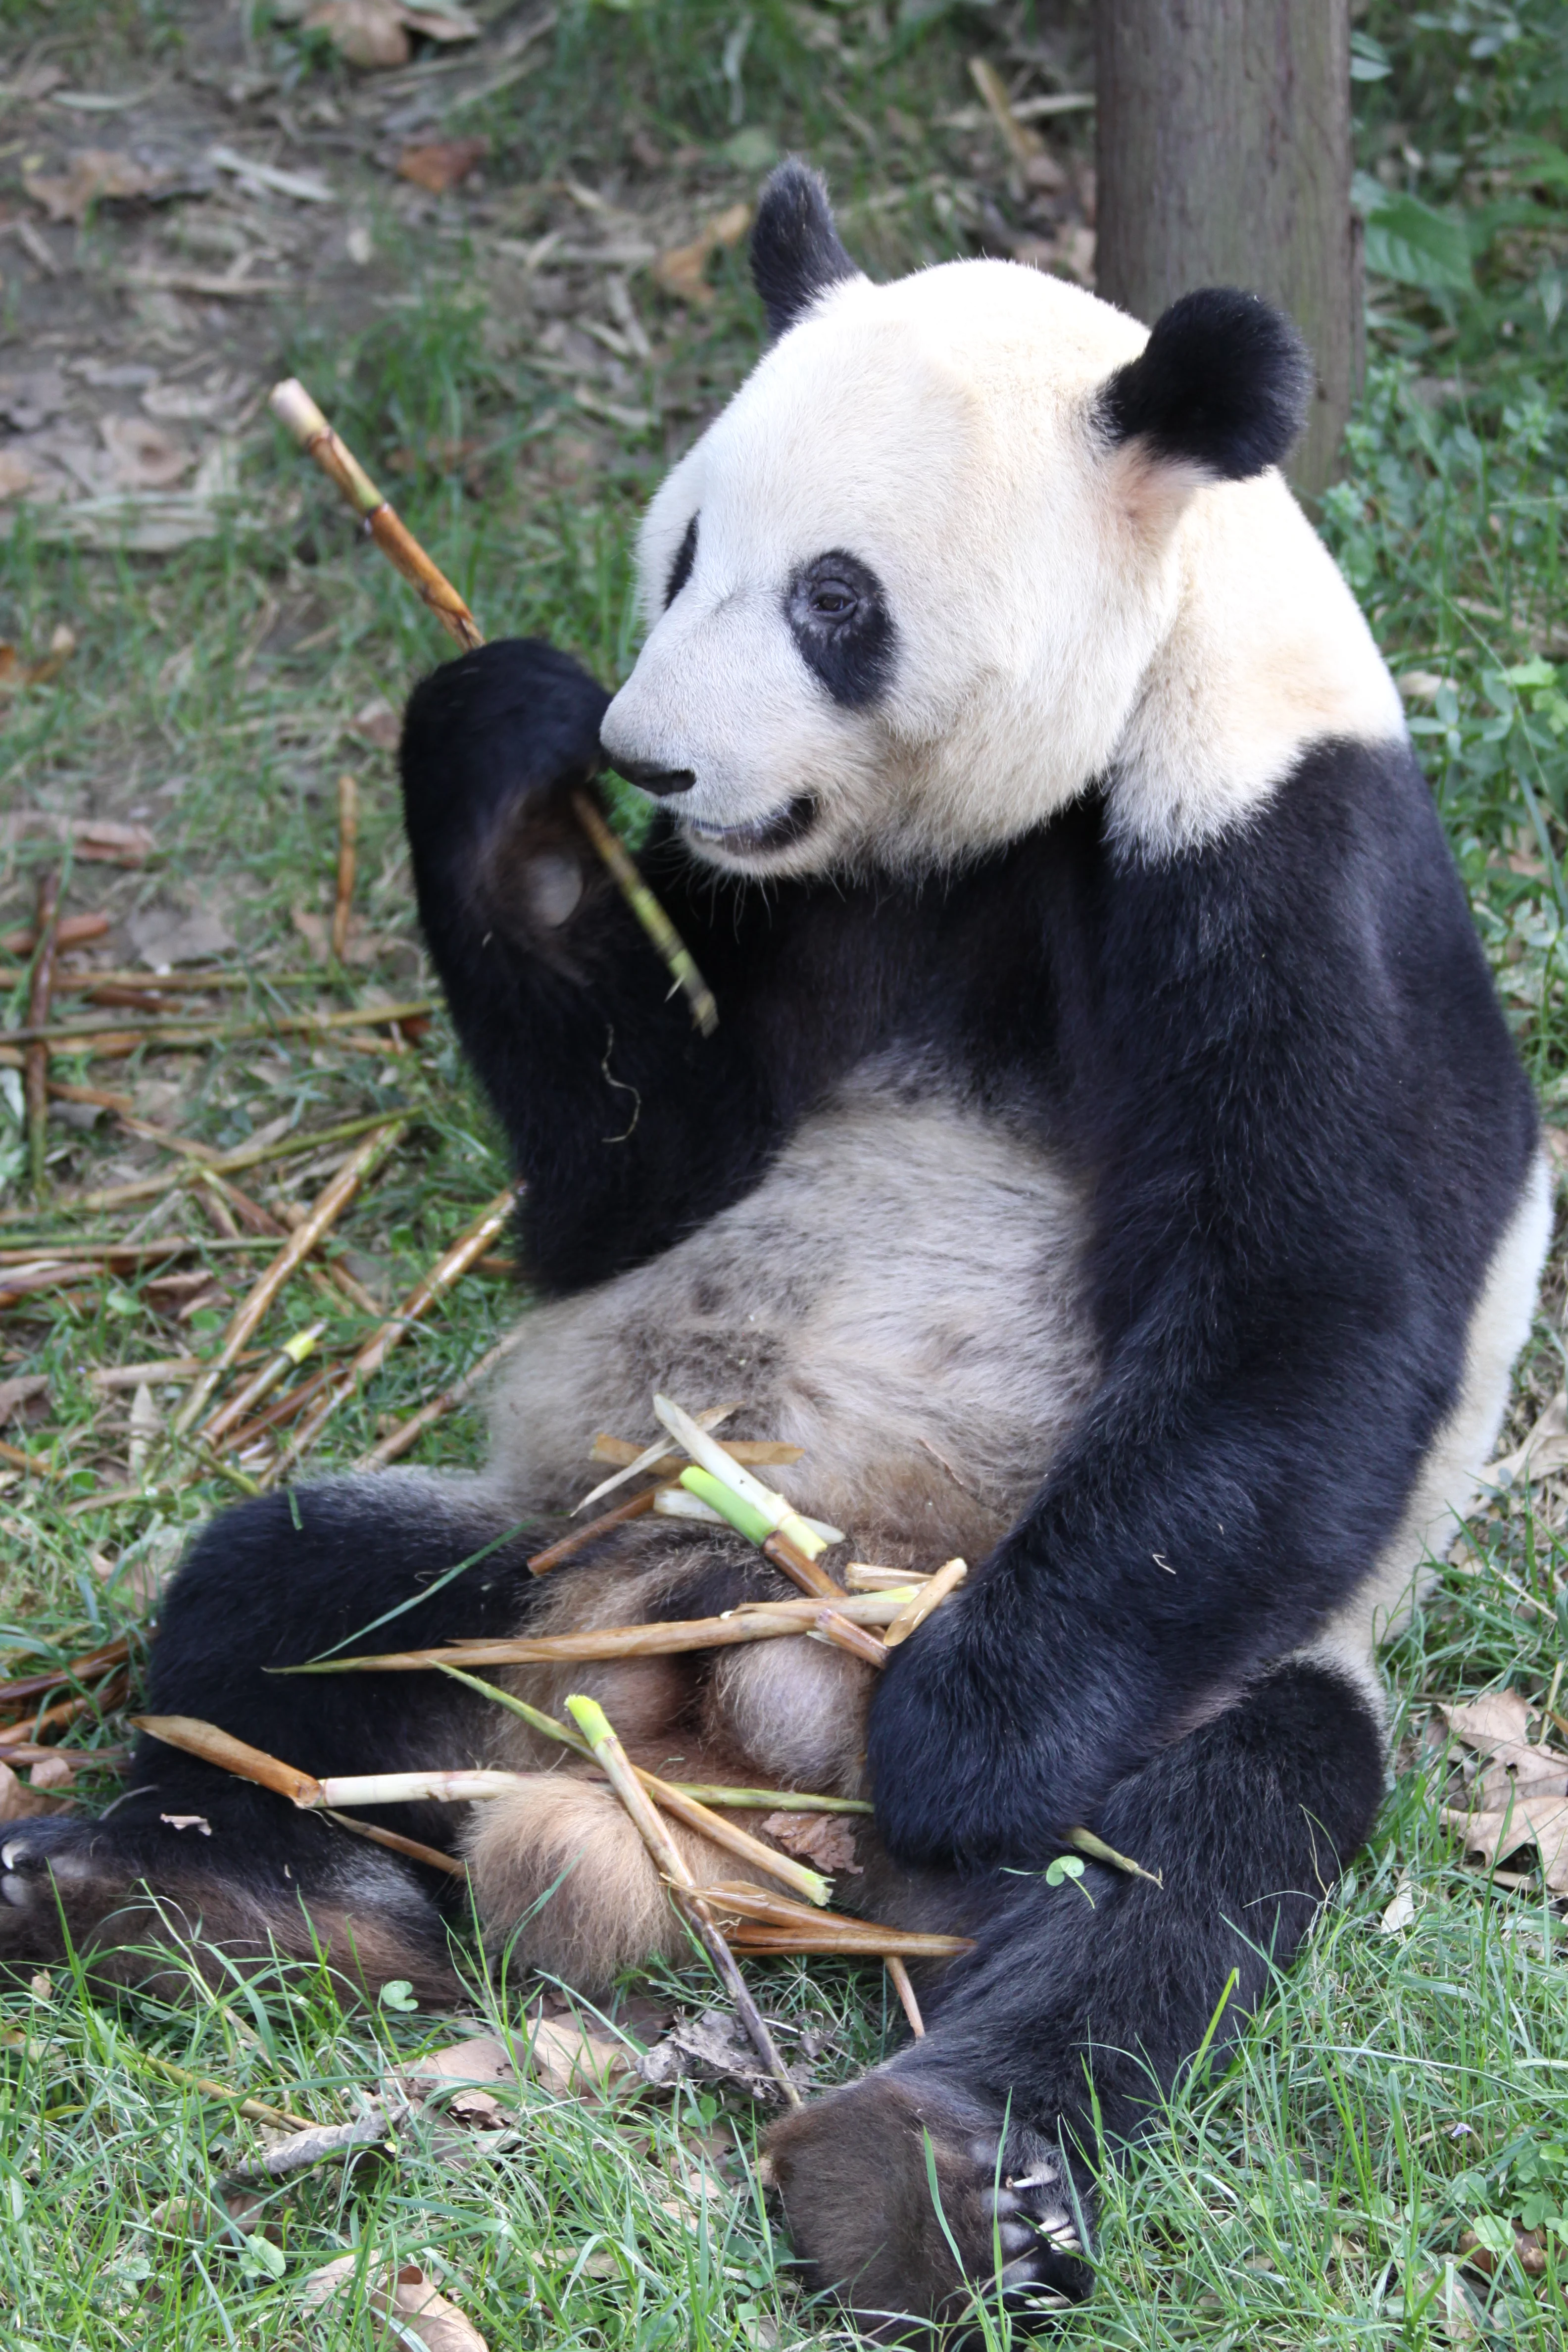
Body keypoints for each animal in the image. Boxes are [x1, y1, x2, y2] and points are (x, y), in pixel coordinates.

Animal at [1, 163, 1548, 2336]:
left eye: (833, 596)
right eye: (678, 557)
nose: (653, 759)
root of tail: (716, 1767)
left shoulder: (1273, 857)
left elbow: (1314, 1304)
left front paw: (962, 1736)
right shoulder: (758, 921)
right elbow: (632, 1185)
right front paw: (510, 762)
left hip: (1166, 1687)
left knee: (1198, 1845)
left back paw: (936, 2170)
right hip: (561, 1565)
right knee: (285, 1591)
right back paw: (207, 1902)